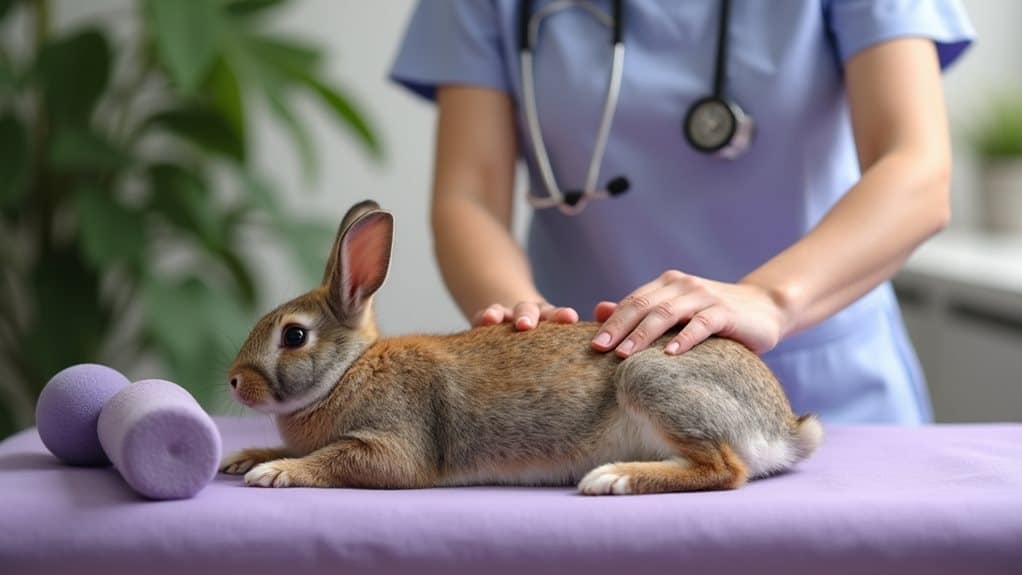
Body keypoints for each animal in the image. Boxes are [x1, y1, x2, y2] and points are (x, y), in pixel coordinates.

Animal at [220, 200, 823, 495]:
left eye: (294, 336)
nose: (233, 381)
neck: (347, 372)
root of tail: (785, 427)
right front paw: (247, 458)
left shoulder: (394, 443)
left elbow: (337, 460)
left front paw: (276, 473)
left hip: (652, 379)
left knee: (725, 469)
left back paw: (612, 479)